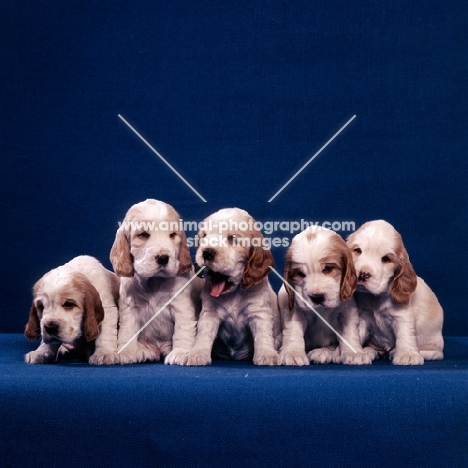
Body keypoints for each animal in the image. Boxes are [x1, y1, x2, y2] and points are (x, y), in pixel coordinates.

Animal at [111, 198, 203, 366]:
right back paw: (143, 352)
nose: (163, 258)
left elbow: (183, 330)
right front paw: (127, 352)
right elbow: (127, 331)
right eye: (143, 234)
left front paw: (181, 353)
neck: (154, 282)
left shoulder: (181, 307)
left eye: (172, 235)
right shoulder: (129, 308)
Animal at [186, 207, 282, 366]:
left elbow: (263, 335)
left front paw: (267, 354)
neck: (233, 293)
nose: (207, 252)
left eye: (232, 238)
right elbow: (204, 334)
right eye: (204, 236)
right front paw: (197, 353)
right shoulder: (210, 312)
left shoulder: (259, 312)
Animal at [278, 227, 372, 366]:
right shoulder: (297, 310)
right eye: (300, 273)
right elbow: (294, 331)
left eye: (328, 268)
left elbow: (350, 332)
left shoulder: (347, 311)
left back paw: (324, 352)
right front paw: (293, 353)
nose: (316, 297)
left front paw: (354, 354)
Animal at [348, 219, 442, 366]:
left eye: (386, 259)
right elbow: (357, 333)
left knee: (434, 353)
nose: (363, 274)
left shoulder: (402, 316)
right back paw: (369, 351)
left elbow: (405, 335)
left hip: (434, 344)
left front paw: (407, 354)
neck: (375, 298)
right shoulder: (363, 316)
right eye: (358, 250)